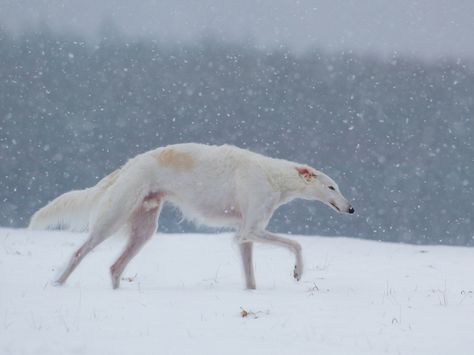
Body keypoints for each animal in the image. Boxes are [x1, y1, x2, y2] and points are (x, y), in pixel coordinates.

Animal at [29, 143, 354, 290]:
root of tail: (128, 165)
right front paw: (298, 272)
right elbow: (297, 244)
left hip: (143, 229)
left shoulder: (244, 235)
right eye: (331, 186)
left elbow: (250, 277)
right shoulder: (250, 229)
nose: (351, 209)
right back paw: (58, 283)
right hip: (112, 218)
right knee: (78, 253)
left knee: (114, 267)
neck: (272, 176)